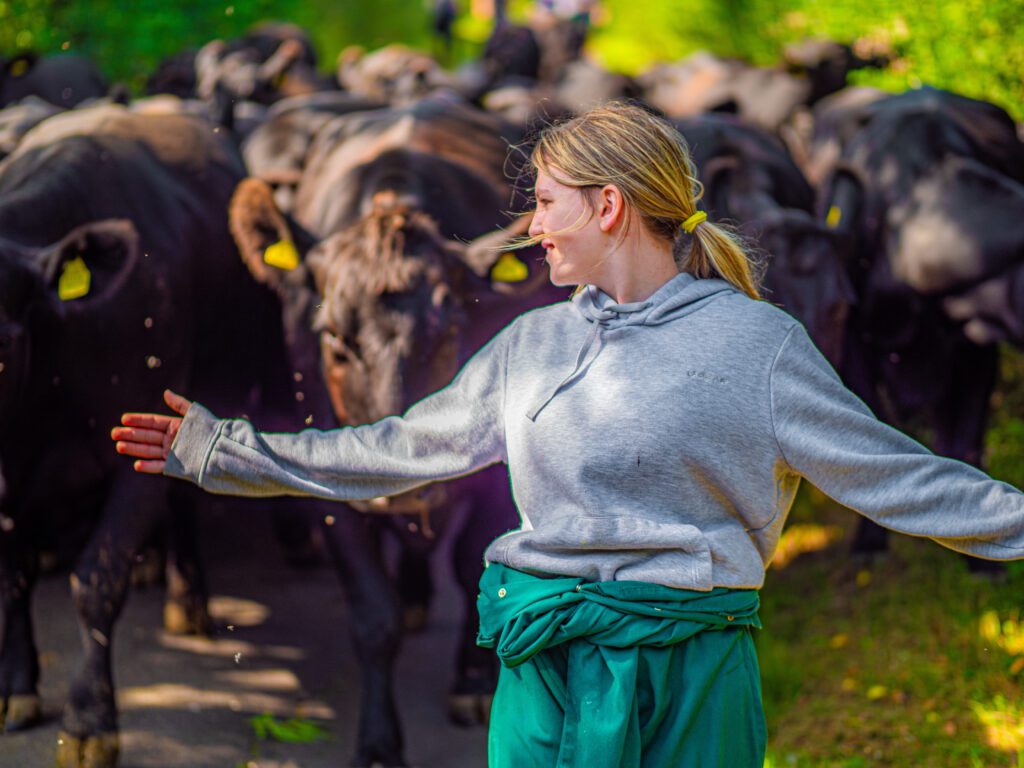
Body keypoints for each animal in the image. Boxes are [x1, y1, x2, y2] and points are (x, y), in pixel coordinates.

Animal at [0, 104, 293, 768]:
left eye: (0, 340)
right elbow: (12, 580)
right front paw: (16, 688)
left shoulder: (131, 460)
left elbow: (96, 581)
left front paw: (89, 722)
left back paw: (188, 599)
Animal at [228, 95, 563, 766]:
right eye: (333, 336)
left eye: (452, 327)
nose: (403, 484)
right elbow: (371, 613)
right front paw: (380, 740)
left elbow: (473, 565)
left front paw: (471, 684)